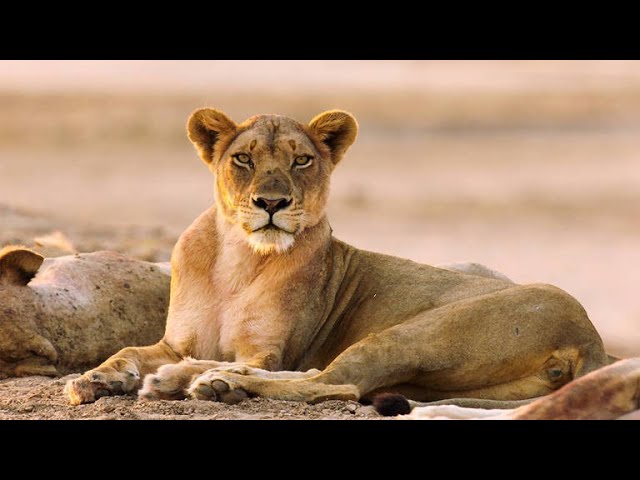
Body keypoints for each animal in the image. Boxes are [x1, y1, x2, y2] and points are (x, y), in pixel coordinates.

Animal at [65, 108, 608, 404]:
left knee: (336, 383)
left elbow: (268, 363)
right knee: (331, 380)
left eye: (302, 160)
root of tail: (589, 335)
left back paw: (207, 383)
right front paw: (93, 379)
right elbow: (128, 350)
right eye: (243, 159)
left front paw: (197, 376)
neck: (237, 260)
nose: (271, 203)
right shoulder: (175, 341)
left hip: (415, 334)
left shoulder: (267, 351)